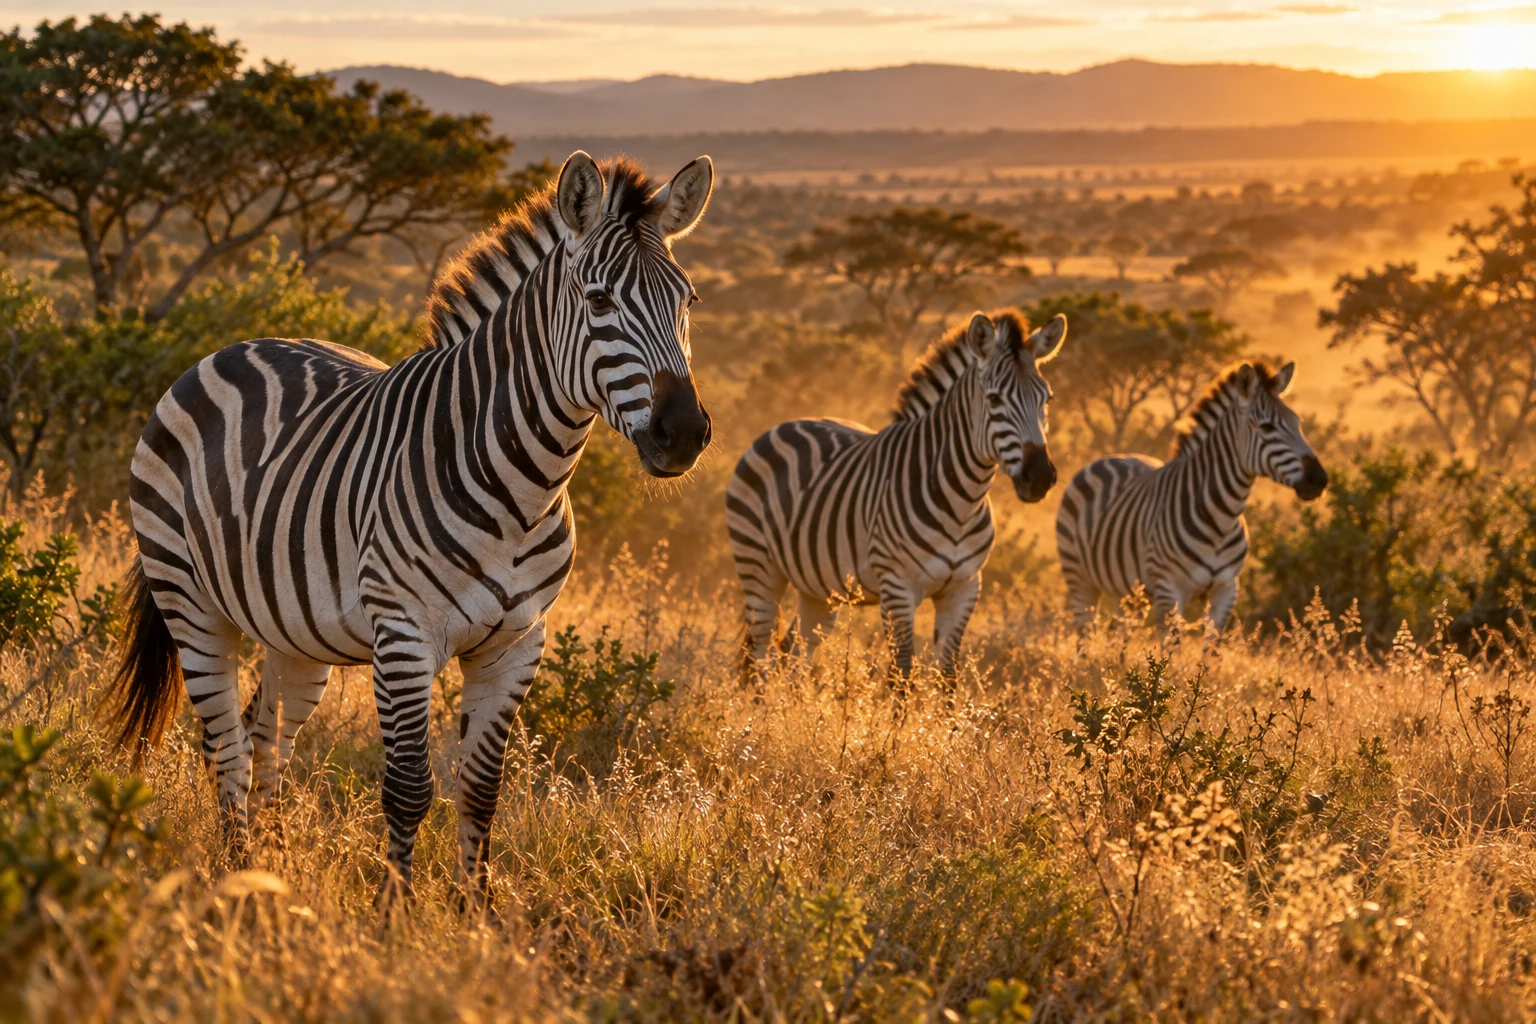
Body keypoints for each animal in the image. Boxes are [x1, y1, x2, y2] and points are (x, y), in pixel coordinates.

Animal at [107, 151, 715, 903]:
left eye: (688, 301)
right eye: (598, 301)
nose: (683, 433)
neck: (523, 490)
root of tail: (224, 351)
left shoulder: (518, 643)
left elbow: (481, 789)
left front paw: (476, 910)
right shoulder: (404, 634)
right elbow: (407, 788)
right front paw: (394, 910)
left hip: (293, 634)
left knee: (265, 737)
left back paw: (268, 873)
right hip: (190, 603)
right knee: (224, 744)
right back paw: (233, 874)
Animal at [726, 309, 1067, 680]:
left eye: (1047, 399)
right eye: (994, 400)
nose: (1041, 477)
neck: (962, 502)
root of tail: (785, 423)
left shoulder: (964, 588)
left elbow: (948, 673)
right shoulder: (897, 587)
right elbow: (902, 672)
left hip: (818, 585)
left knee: (797, 647)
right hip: (757, 565)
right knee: (758, 653)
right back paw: (762, 699)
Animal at [1055, 359, 1329, 633]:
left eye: (1298, 423)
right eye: (1267, 427)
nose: (1319, 479)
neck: (1222, 518)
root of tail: (1108, 456)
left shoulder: (1227, 589)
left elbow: (1212, 643)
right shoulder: (1169, 590)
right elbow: (1171, 644)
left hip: (1131, 592)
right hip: (1080, 580)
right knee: (1085, 632)